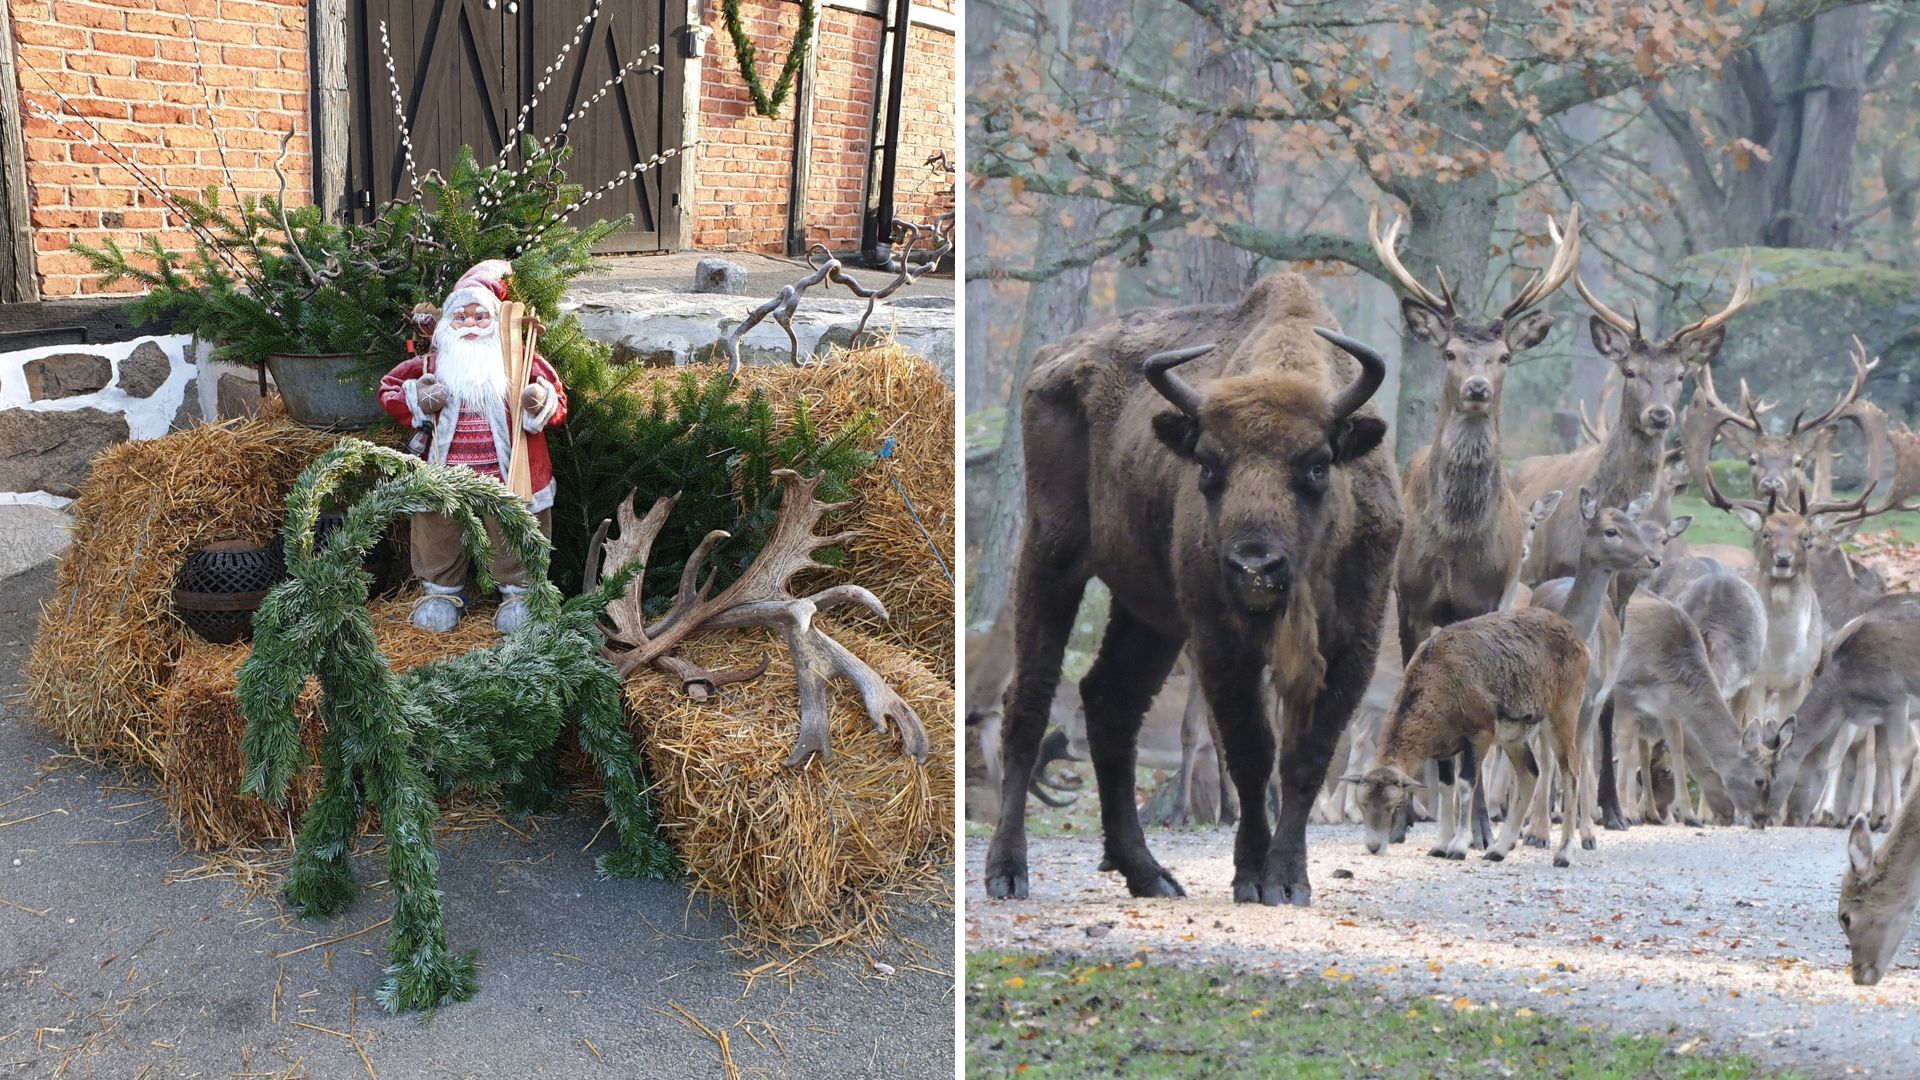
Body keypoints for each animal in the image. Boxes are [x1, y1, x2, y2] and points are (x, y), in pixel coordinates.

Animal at [990, 272, 1397, 903]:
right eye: (1207, 464)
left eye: (1317, 464)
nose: (1254, 567)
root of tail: (1049, 362)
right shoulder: (1219, 637)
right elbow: (1251, 750)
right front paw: (1253, 876)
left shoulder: (1355, 642)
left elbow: (1306, 756)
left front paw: (1288, 879)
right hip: (1048, 558)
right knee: (1028, 703)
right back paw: (1008, 871)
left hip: (1149, 614)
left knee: (1110, 703)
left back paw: (1147, 872)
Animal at [1374, 201, 1582, 661]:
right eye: (1450, 352)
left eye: (1504, 356)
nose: (1477, 388)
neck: (1456, 537)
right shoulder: (1410, 600)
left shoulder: (1485, 599)